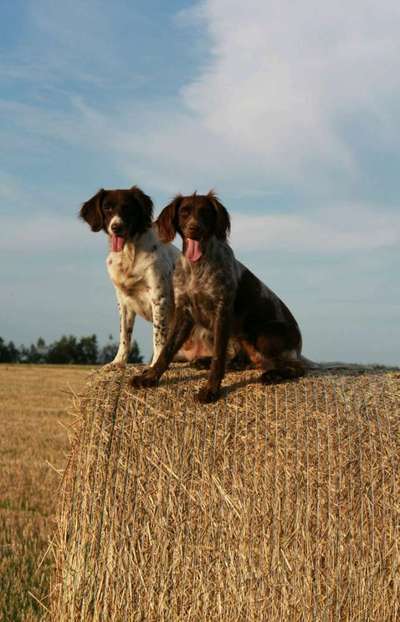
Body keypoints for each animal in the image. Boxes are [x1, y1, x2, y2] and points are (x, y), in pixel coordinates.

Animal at [79, 188, 212, 368]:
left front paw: (154, 364)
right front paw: (118, 362)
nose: (116, 227)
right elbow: (124, 335)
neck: (130, 253)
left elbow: (158, 336)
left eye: (127, 208)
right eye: (107, 208)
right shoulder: (124, 302)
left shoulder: (159, 298)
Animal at [131, 191, 304, 404]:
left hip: (265, 335)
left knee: (297, 367)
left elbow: (218, 357)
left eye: (205, 212)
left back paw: (273, 375)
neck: (197, 267)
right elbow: (167, 351)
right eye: (184, 212)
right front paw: (149, 377)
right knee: (246, 361)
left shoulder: (221, 311)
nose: (194, 228)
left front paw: (211, 389)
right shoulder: (184, 313)